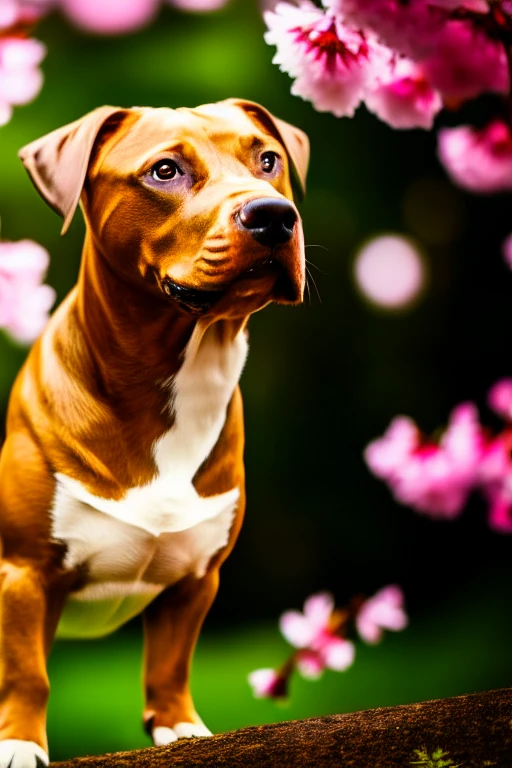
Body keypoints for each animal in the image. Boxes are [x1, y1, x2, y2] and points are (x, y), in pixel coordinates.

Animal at [0, 102, 306, 768]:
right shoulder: (24, 571)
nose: (273, 214)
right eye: (165, 170)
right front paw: (19, 744)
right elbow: (27, 673)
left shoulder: (195, 578)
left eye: (268, 159)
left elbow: (170, 665)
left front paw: (179, 727)